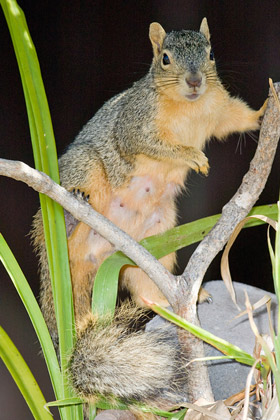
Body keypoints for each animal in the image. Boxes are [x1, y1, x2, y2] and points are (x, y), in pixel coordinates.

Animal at [31, 18, 266, 410]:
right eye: (165, 58)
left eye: (210, 53)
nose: (195, 81)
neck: (190, 107)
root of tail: (90, 257)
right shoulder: (135, 124)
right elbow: (151, 144)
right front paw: (192, 156)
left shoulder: (220, 110)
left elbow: (239, 118)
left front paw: (266, 110)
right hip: (84, 168)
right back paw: (72, 211)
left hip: (152, 240)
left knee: (147, 295)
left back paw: (181, 302)